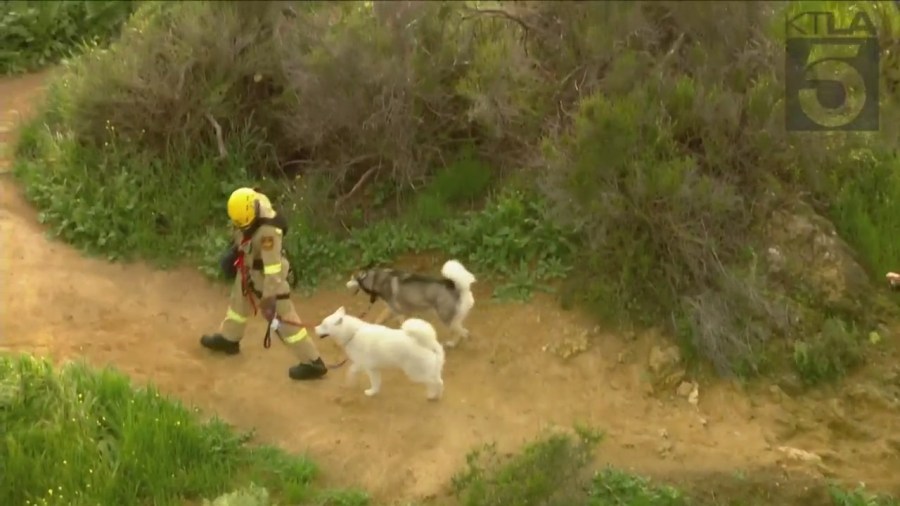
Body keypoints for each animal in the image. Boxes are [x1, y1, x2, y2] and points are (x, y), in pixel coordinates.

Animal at [312, 306, 446, 402]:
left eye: (324, 325)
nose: (314, 329)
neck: (353, 333)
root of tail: (430, 343)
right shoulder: (373, 368)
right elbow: (376, 382)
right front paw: (373, 392)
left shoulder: (365, 366)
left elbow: (352, 371)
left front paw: (364, 389)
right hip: (429, 370)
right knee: (439, 381)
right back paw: (436, 395)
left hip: (415, 372)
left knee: (434, 382)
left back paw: (432, 395)